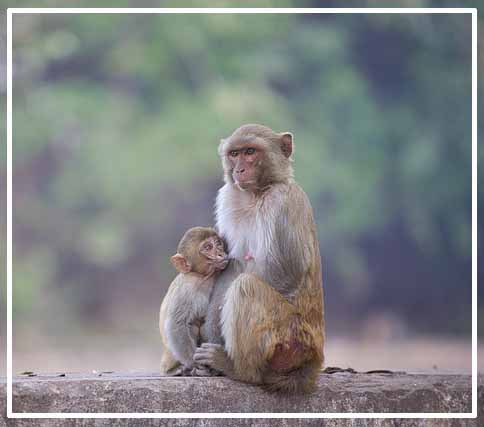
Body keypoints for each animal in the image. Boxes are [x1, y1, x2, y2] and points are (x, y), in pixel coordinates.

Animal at [158, 226, 228, 376]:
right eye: (208, 247)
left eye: (218, 243)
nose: (220, 253)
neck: (202, 276)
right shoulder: (187, 289)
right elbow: (177, 323)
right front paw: (195, 363)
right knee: (192, 325)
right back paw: (176, 370)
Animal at [194, 123, 326, 394]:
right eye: (234, 154)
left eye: (250, 152)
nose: (239, 170)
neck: (257, 194)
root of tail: (313, 360)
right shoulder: (228, 197)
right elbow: (231, 265)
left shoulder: (284, 200)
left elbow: (287, 271)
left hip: (290, 341)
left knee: (246, 287)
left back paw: (240, 370)